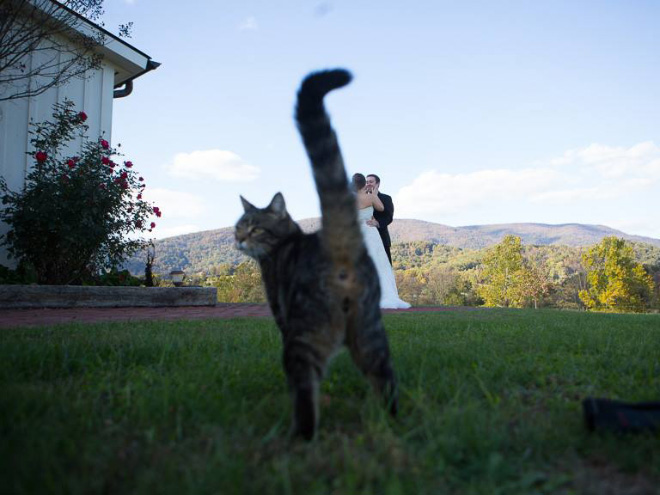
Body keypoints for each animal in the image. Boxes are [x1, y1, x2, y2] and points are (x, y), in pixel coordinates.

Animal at [235, 70, 394, 442]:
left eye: (254, 228)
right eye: (239, 227)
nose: (239, 239)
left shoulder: (283, 315)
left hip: (305, 334)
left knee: (305, 389)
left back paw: (299, 436)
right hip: (369, 331)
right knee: (386, 377)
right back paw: (391, 421)